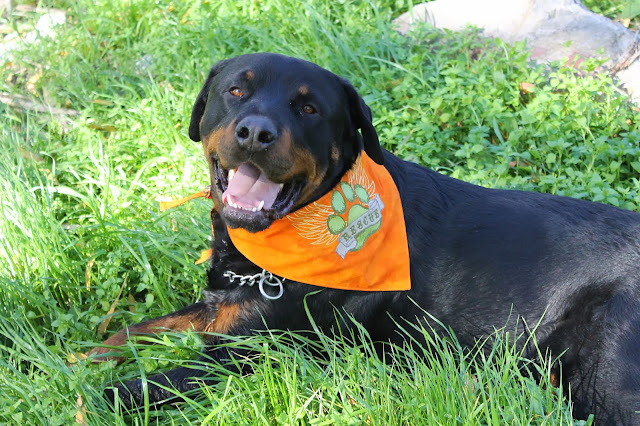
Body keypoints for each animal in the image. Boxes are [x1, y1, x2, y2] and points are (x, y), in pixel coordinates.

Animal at [93, 53, 640, 424]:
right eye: (235, 92)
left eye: (309, 108)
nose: (253, 133)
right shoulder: (218, 313)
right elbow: (128, 333)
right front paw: (86, 354)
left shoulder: (251, 353)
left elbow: (126, 390)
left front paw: (83, 390)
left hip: (606, 379)